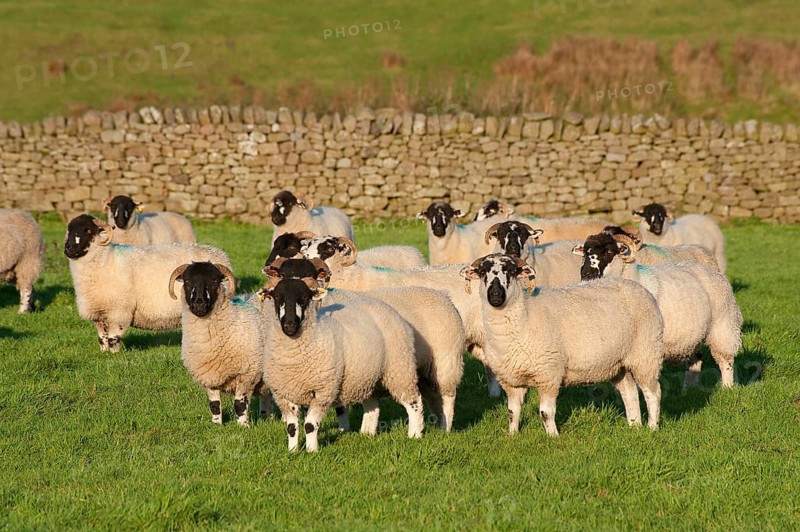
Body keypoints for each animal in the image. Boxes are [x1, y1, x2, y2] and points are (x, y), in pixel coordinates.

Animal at [64, 214, 231, 352]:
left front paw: (114, 356)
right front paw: (104, 353)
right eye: (69, 230)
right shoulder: (99, 313)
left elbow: (113, 338)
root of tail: (221, 254)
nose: (69, 249)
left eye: (87, 230)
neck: (106, 260)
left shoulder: (119, 311)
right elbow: (102, 338)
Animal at [168, 262, 271, 427]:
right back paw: (268, 417)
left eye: (215, 281)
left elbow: (239, 404)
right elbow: (214, 405)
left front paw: (243, 426)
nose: (199, 304)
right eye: (187, 281)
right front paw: (217, 425)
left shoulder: (247, 374)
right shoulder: (209, 376)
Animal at [258, 258, 424, 452]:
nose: (289, 325)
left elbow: (310, 425)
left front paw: (312, 451)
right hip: (366, 376)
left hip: (400, 370)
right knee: (373, 405)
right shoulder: (284, 393)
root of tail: (383, 305)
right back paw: (366, 434)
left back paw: (415, 434)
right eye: (277, 298)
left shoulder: (323, 391)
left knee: (414, 401)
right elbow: (292, 427)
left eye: (305, 298)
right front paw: (292, 451)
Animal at [461, 254, 665, 436]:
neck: (524, 314)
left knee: (653, 393)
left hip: (646, 354)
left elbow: (546, 413)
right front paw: (512, 436)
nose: (495, 295)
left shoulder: (549, 374)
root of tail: (638, 287)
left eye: (511, 271)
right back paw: (634, 426)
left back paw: (652, 428)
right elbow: (512, 412)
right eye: (482, 272)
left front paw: (553, 437)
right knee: (630, 393)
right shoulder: (511, 379)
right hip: (618, 363)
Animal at [576, 231, 742, 387]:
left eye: (609, 251)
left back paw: (727, 387)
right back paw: (689, 389)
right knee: (695, 360)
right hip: (694, 335)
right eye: (585, 253)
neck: (636, 278)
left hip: (722, 325)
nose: (586, 274)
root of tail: (714, 272)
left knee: (725, 359)